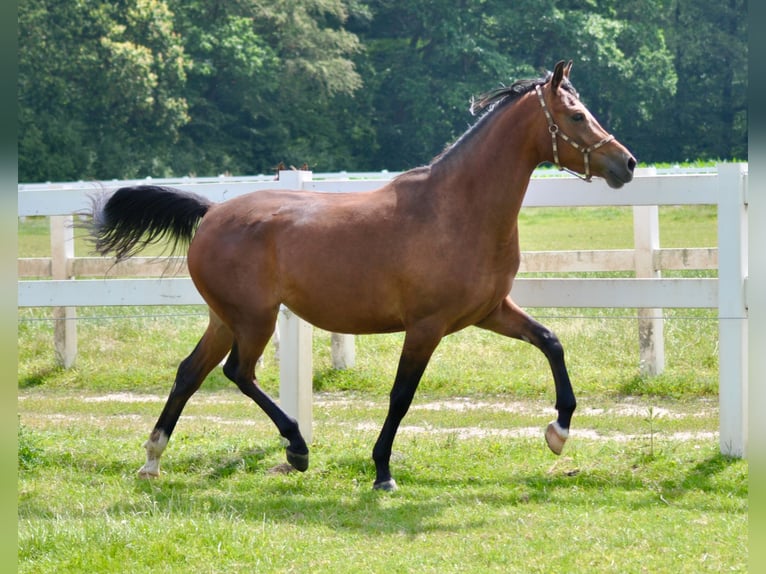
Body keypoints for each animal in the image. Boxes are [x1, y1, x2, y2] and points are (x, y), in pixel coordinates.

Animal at [89, 60, 636, 491]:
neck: (456, 209)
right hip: (254, 319)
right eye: (576, 115)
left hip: (226, 318)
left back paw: (153, 460)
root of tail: (211, 213)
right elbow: (401, 396)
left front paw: (558, 433)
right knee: (237, 373)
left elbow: (551, 342)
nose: (626, 163)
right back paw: (296, 448)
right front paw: (382, 472)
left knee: (190, 372)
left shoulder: (490, 311)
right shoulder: (426, 327)